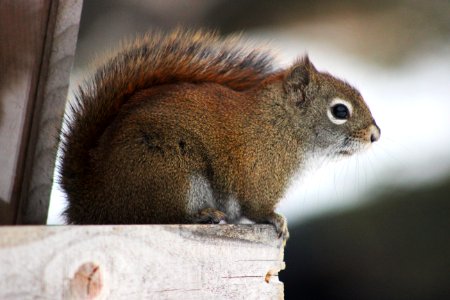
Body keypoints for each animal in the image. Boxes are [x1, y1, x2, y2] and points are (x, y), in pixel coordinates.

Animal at [59, 28, 380, 239]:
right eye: (340, 111)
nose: (375, 135)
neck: (282, 126)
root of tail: (89, 201)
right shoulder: (261, 177)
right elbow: (258, 208)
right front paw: (278, 221)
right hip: (169, 173)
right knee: (155, 216)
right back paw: (205, 215)